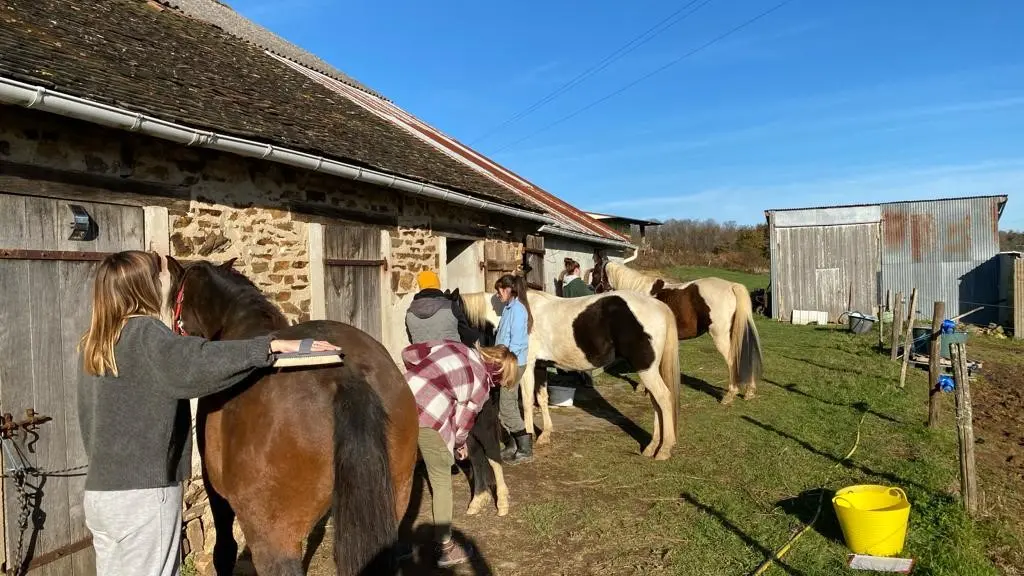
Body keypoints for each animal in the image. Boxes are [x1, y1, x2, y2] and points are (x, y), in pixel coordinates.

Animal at [458, 289, 679, 459]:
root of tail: (660, 306)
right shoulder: (540, 366)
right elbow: (542, 398)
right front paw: (545, 435)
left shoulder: (528, 366)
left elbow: (528, 402)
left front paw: (528, 437)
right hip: (650, 370)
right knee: (656, 403)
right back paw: (652, 447)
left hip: (646, 370)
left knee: (664, 398)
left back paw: (664, 449)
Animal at [589, 260, 765, 403]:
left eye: (596, 273)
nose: (592, 290)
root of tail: (731, 286)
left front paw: (643, 388)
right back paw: (749, 391)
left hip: (720, 336)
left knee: (732, 359)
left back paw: (730, 395)